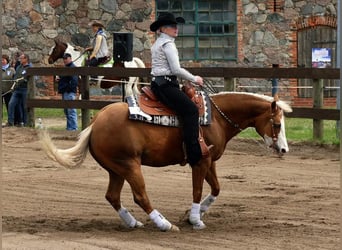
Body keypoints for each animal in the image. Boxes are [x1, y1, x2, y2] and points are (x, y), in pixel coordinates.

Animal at [39, 91, 292, 230]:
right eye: (277, 123)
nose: (284, 149)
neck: (216, 118)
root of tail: (96, 122)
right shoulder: (200, 161)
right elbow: (197, 190)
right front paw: (195, 219)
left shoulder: (210, 161)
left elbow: (216, 189)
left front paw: (194, 215)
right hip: (130, 166)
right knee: (140, 196)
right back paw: (164, 224)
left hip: (116, 169)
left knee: (112, 196)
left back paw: (133, 223)